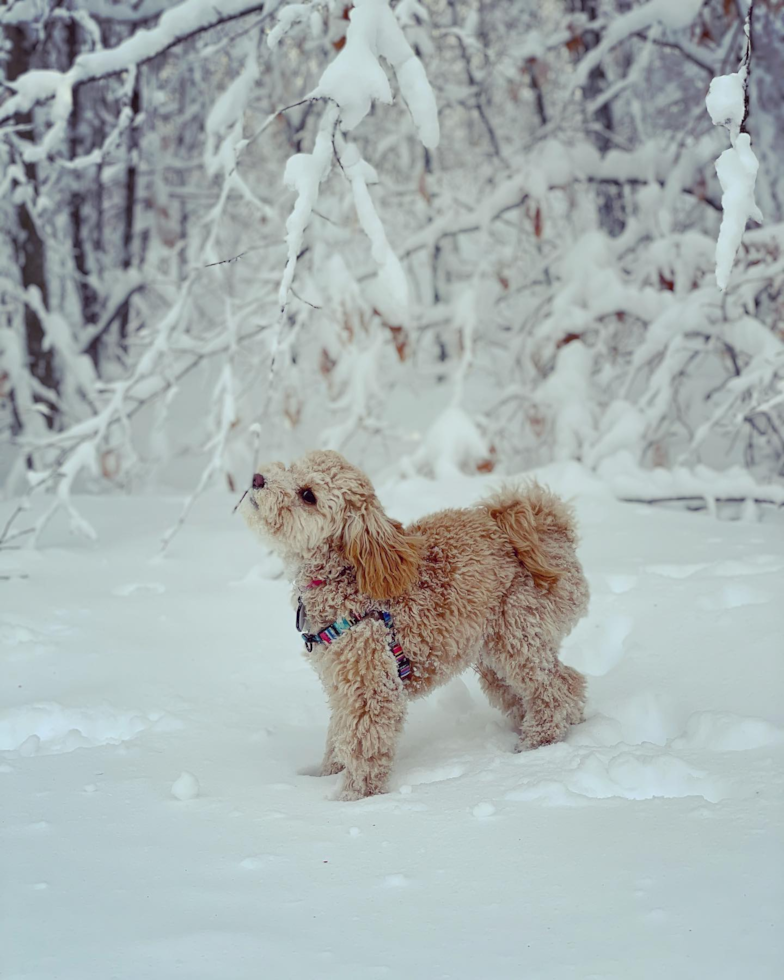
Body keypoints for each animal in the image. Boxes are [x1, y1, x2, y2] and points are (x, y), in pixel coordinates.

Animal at [239, 448, 588, 800]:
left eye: (308, 495)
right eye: (291, 467)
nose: (257, 478)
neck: (346, 577)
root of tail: (550, 529)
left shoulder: (372, 689)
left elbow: (364, 747)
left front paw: (353, 798)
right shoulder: (342, 683)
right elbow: (339, 735)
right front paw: (326, 774)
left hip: (517, 637)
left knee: (557, 686)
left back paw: (538, 742)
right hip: (494, 657)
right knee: (552, 687)